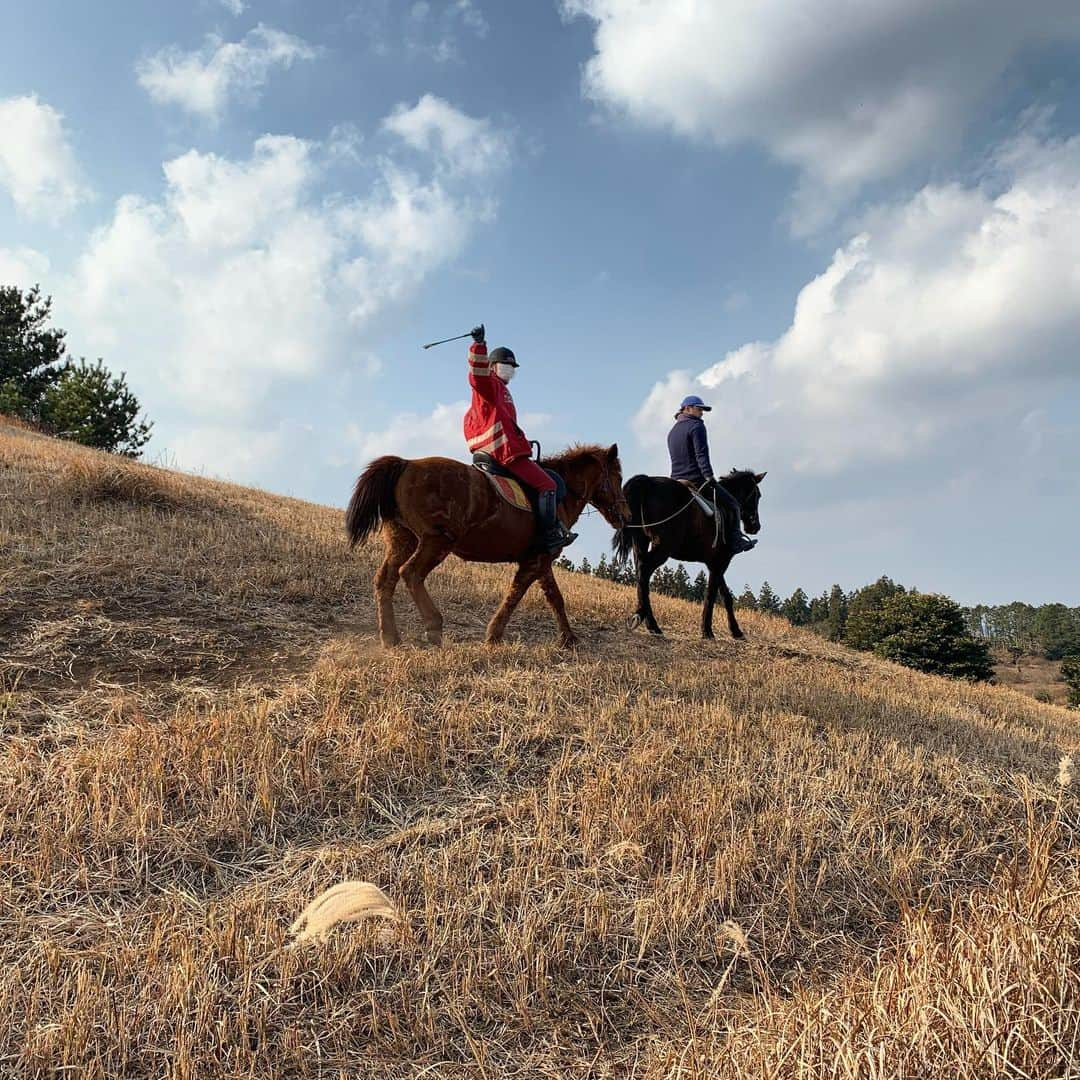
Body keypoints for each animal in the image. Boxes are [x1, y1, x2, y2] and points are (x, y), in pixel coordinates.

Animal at [345, 442, 630, 643]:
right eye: (618, 477)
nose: (626, 516)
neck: (561, 494)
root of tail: (406, 464)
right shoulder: (536, 560)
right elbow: (515, 595)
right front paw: (494, 634)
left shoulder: (541, 561)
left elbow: (554, 598)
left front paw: (568, 638)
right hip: (436, 541)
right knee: (411, 574)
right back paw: (434, 627)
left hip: (402, 540)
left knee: (385, 579)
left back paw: (390, 637)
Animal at [617, 470, 768, 635]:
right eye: (757, 495)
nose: (755, 526)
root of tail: (647, 483)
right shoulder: (722, 560)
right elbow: (711, 594)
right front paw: (707, 630)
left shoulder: (714, 562)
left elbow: (725, 595)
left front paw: (735, 631)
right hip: (663, 547)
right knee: (644, 571)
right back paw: (649, 622)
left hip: (641, 543)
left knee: (640, 573)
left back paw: (644, 618)